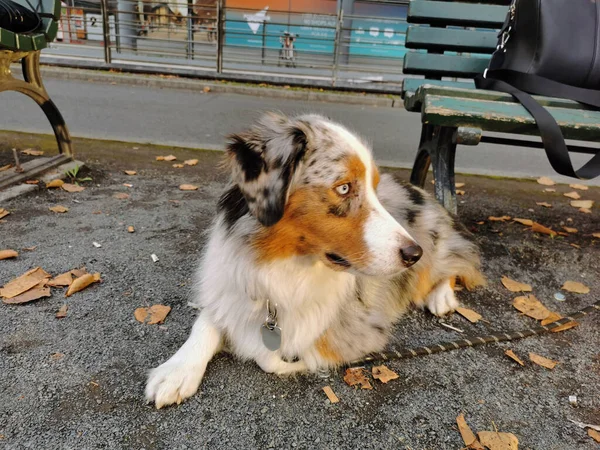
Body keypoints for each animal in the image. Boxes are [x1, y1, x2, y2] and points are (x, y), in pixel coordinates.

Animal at [145, 111, 482, 408]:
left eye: (373, 188)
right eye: (344, 187)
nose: (414, 254)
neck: (285, 266)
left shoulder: (357, 330)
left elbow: (272, 357)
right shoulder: (228, 287)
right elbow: (206, 322)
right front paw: (176, 371)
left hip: (433, 244)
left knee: (452, 265)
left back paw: (441, 296)